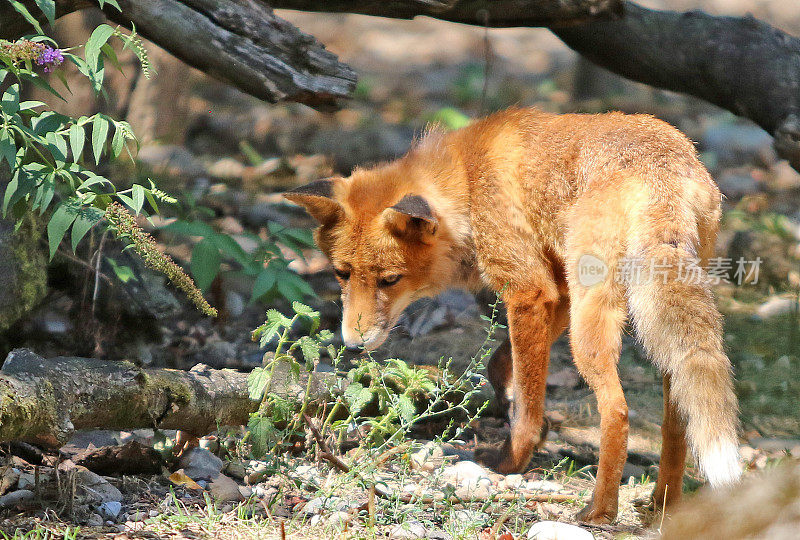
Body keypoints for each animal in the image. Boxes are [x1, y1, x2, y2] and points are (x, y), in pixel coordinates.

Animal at [284, 106, 740, 524]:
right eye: (342, 273)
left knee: (617, 409)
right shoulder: (556, 288)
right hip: (651, 321)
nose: (352, 344)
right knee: (678, 419)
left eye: (390, 280)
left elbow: (529, 403)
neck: (467, 182)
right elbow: (502, 363)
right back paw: (664, 506)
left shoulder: (528, 288)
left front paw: (511, 459)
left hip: (592, 323)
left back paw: (600, 511)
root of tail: (664, 171)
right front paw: (510, 401)